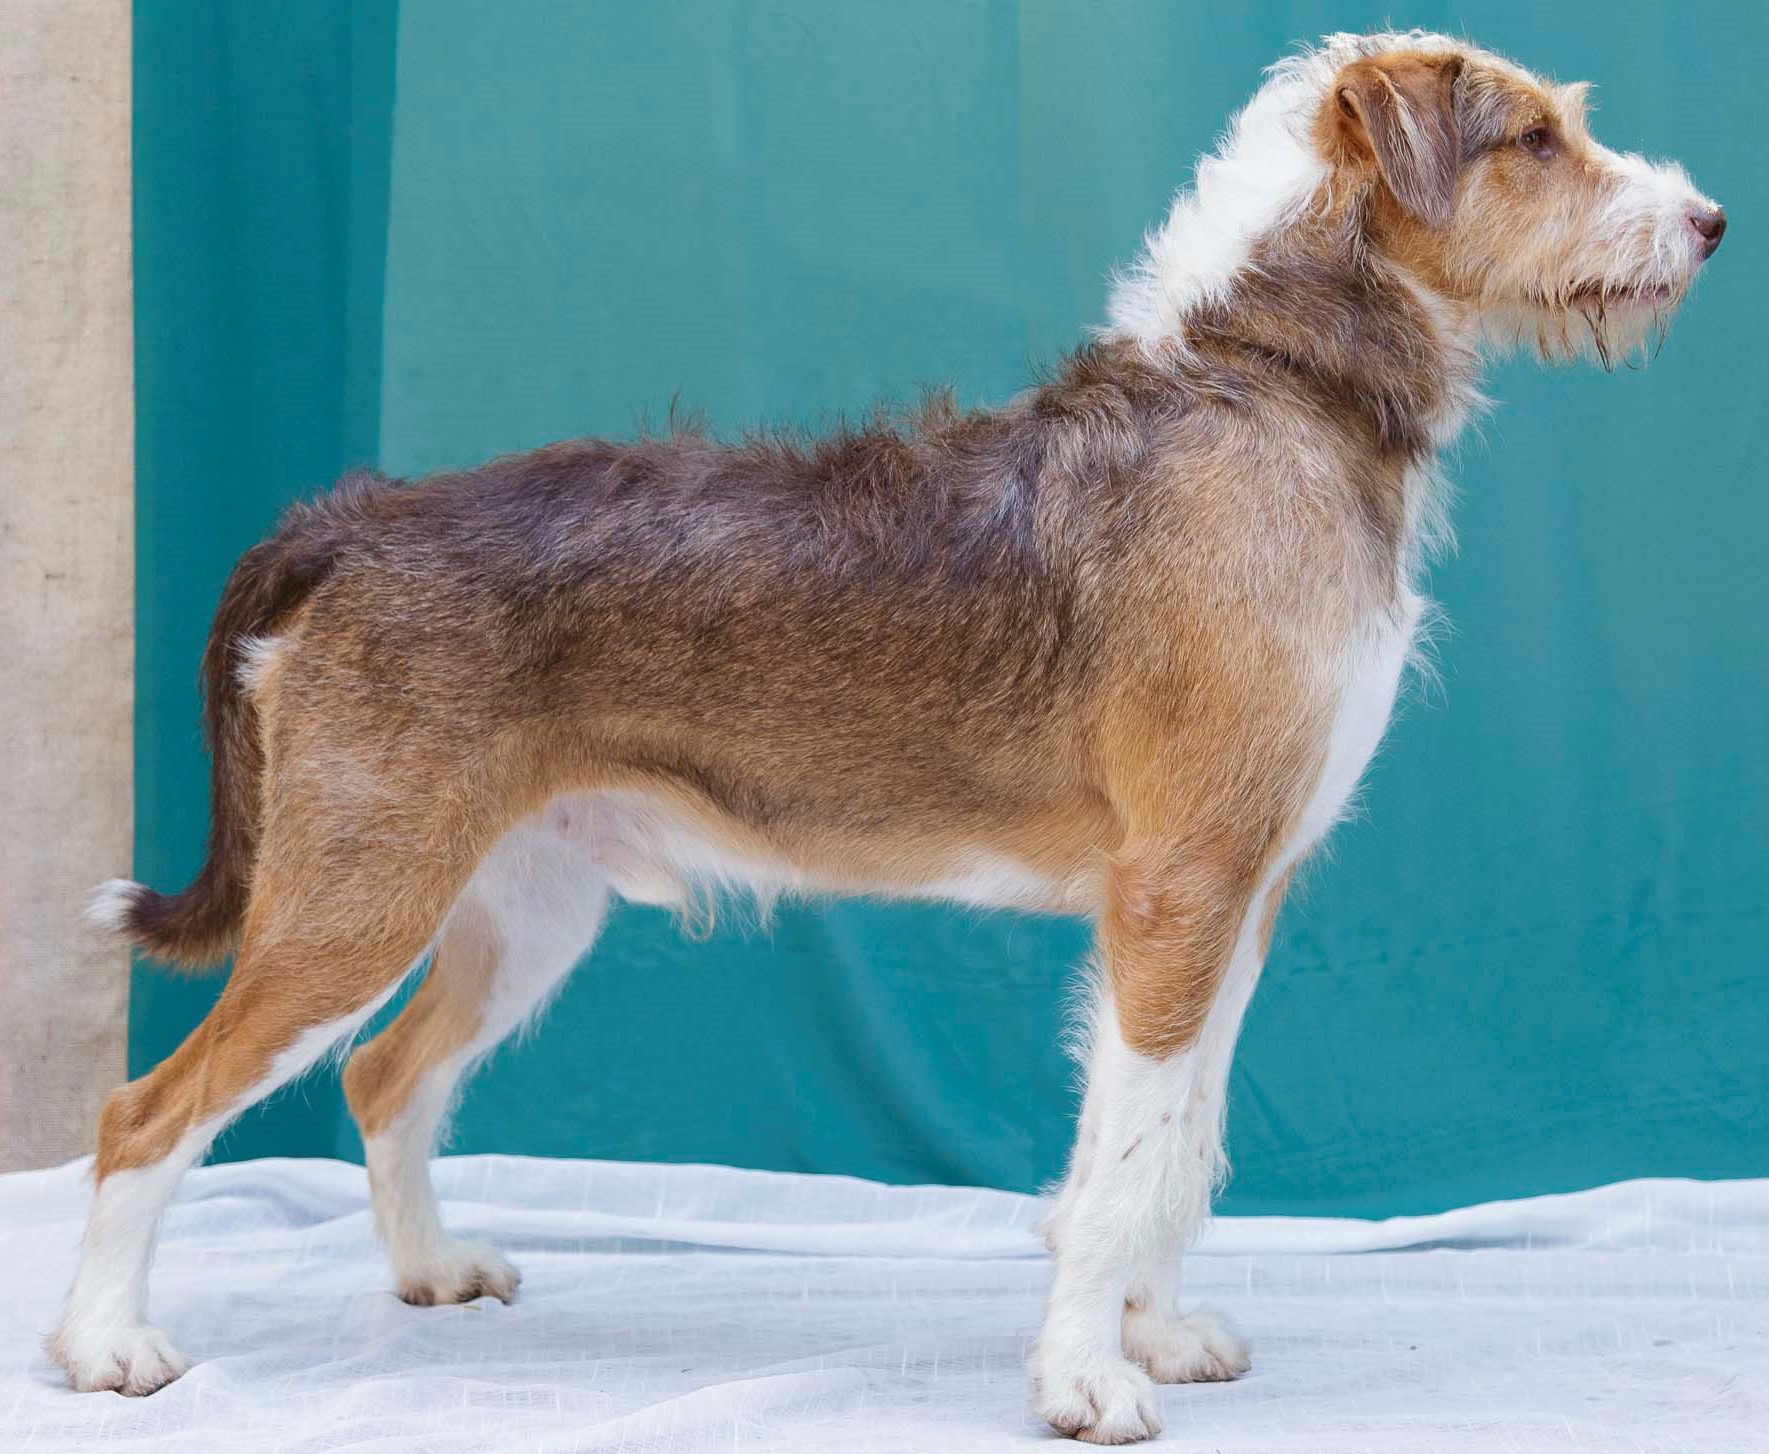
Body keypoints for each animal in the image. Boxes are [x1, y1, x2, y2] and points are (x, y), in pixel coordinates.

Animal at [58, 28, 1726, 1450]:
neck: (1267, 380)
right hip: (353, 901)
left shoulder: (1241, 901)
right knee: (149, 1109)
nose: (1710, 220)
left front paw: (1154, 1334)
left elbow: (1178, 1148)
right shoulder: (1176, 892)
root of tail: (357, 515)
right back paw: (104, 1346)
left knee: (383, 1074)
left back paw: (430, 1269)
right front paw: (1085, 1380)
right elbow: (1124, 1163)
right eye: (1533, 140)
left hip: (519, 907)